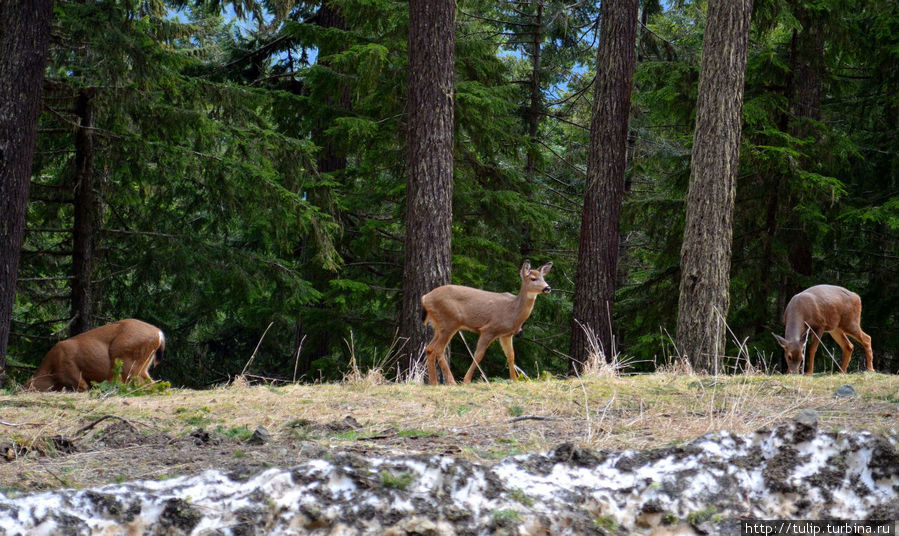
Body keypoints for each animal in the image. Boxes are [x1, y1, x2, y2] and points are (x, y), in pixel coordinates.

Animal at [26, 318, 166, 390]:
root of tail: (159, 334)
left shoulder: (70, 370)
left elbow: (83, 386)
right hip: (143, 364)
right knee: (151, 382)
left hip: (125, 358)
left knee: (137, 384)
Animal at [420, 260, 552, 384]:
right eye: (533, 278)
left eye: (543, 278)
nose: (547, 288)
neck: (513, 311)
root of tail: (425, 298)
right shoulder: (489, 329)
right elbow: (478, 355)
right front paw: (466, 380)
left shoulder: (506, 335)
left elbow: (511, 356)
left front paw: (514, 380)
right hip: (450, 321)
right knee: (439, 349)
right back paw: (452, 382)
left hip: (439, 325)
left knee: (429, 348)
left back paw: (434, 383)